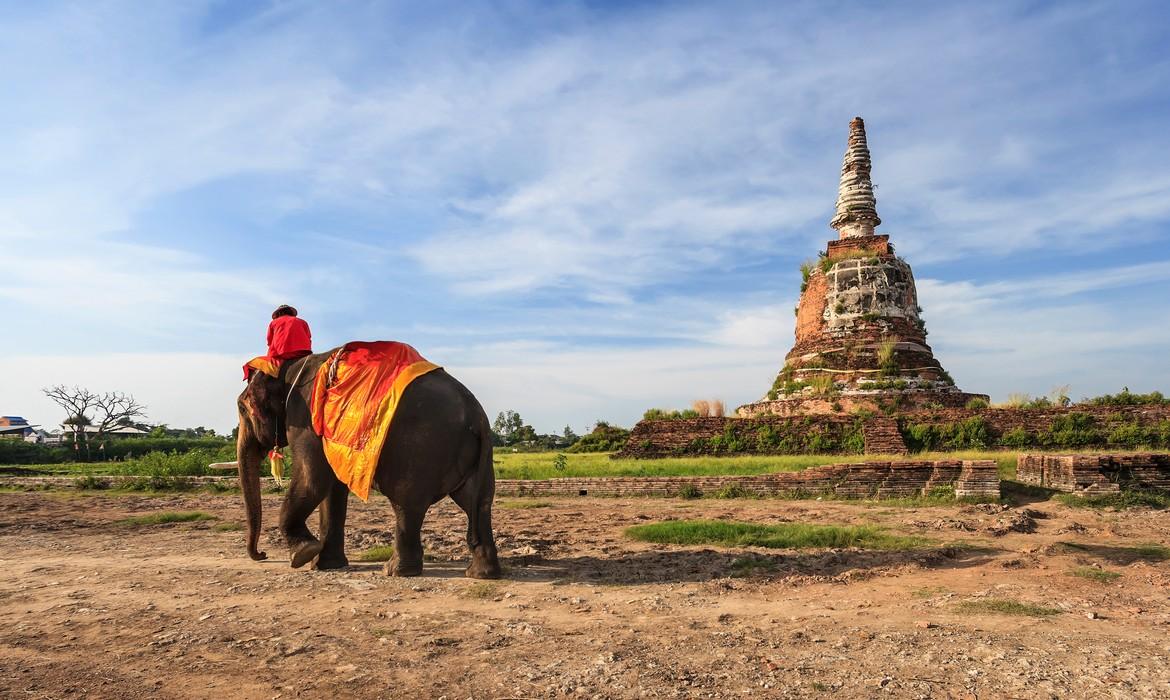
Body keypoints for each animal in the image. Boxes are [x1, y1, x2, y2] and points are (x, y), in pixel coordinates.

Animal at [232, 348, 498, 578]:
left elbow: (313, 479)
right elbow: (332, 489)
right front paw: (324, 564)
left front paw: (303, 555)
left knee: (406, 504)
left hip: (419, 450)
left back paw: (395, 571)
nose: (262, 555)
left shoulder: (306, 417)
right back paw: (481, 574)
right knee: (477, 502)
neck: (289, 367)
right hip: (474, 457)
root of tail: (476, 414)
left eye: (242, 408)